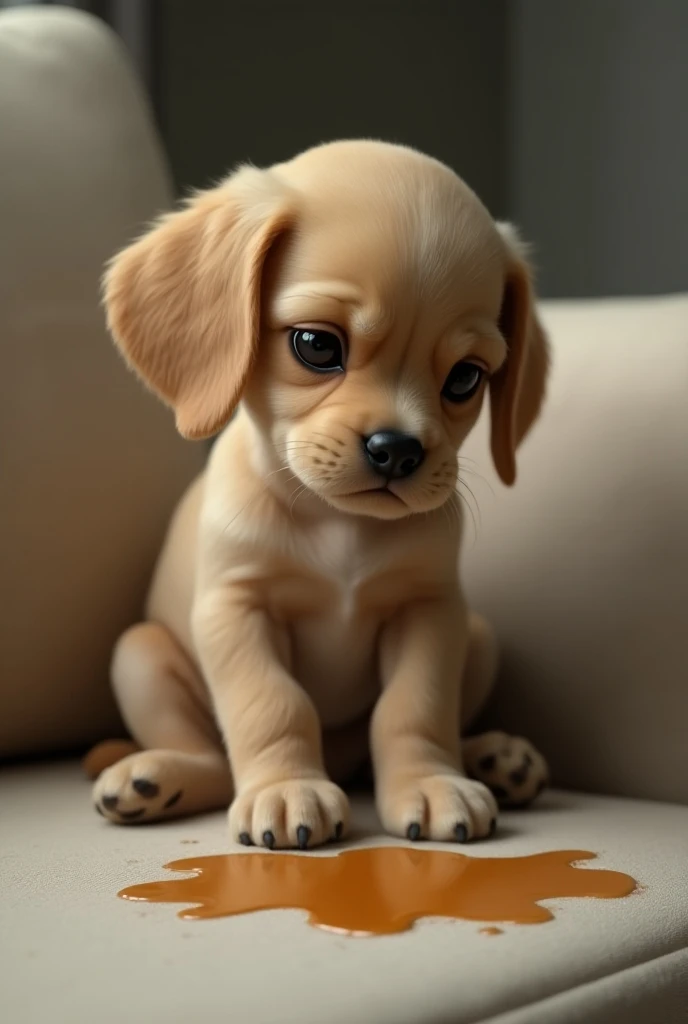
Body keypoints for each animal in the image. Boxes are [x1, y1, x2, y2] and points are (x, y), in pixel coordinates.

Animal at [92, 140, 552, 851]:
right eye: (316, 345)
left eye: (466, 378)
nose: (397, 449)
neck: (337, 526)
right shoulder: (237, 609)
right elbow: (273, 705)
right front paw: (286, 788)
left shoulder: (430, 611)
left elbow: (414, 709)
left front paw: (429, 780)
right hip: (138, 655)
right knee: (212, 760)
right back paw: (156, 778)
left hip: (479, 638)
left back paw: (492, 757)